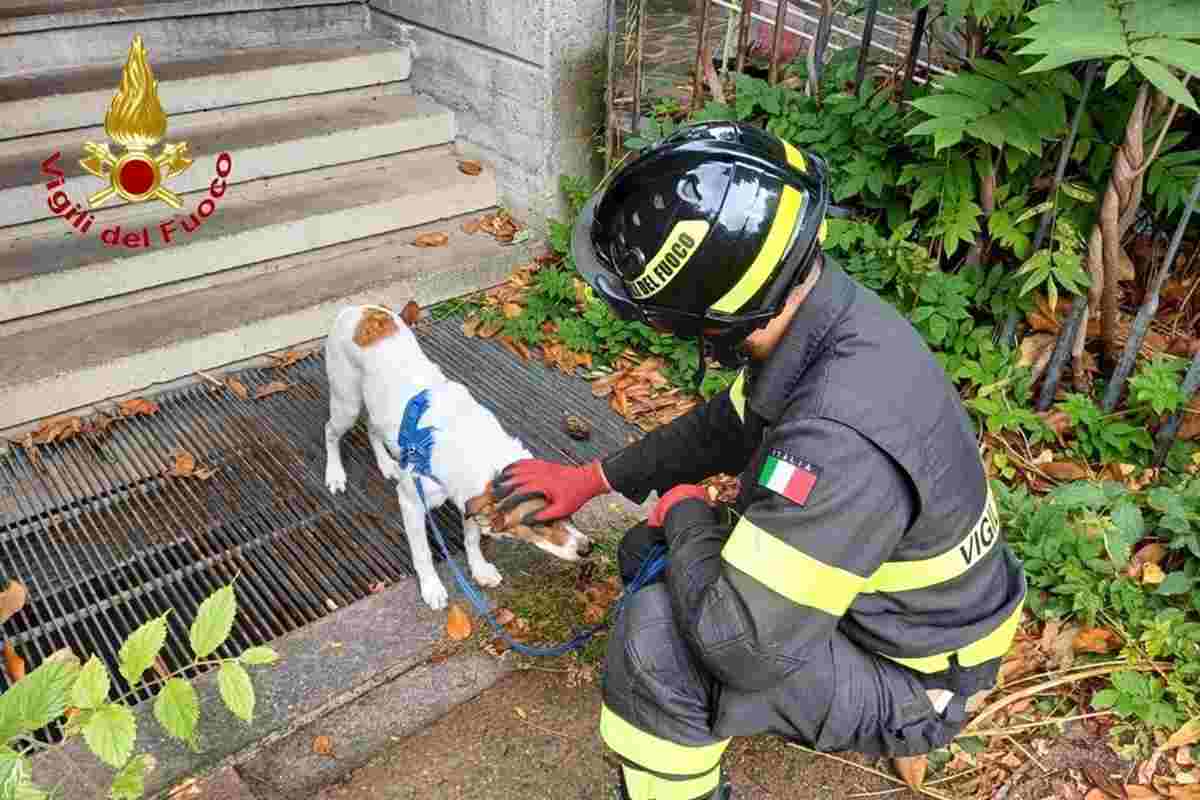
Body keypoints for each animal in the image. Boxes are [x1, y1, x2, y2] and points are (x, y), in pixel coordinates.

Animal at [324, 303, 595, 609]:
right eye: (541, 523)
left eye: (570, 511)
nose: (588, 549)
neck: (479, 449)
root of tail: (357, 309)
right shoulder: (411, 502)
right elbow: (423, 553)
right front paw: (431, 587)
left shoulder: (470, 499)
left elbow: (472, 539)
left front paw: (479, 569)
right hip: (346, 403)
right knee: (330, 431)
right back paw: (335, 475)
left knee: (372, 427)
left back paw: (386, 464)